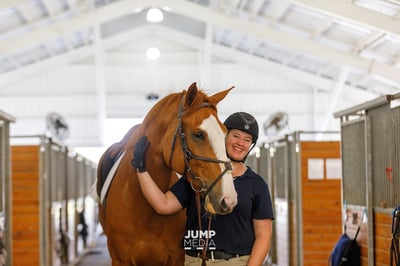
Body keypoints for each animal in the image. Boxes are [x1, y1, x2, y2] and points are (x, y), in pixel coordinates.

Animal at [94, 82, 238, 264]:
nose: (229, 199)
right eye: (198, 134)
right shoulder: (120, 261)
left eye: (225, 133)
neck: (145, 208)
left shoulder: (176, 259)